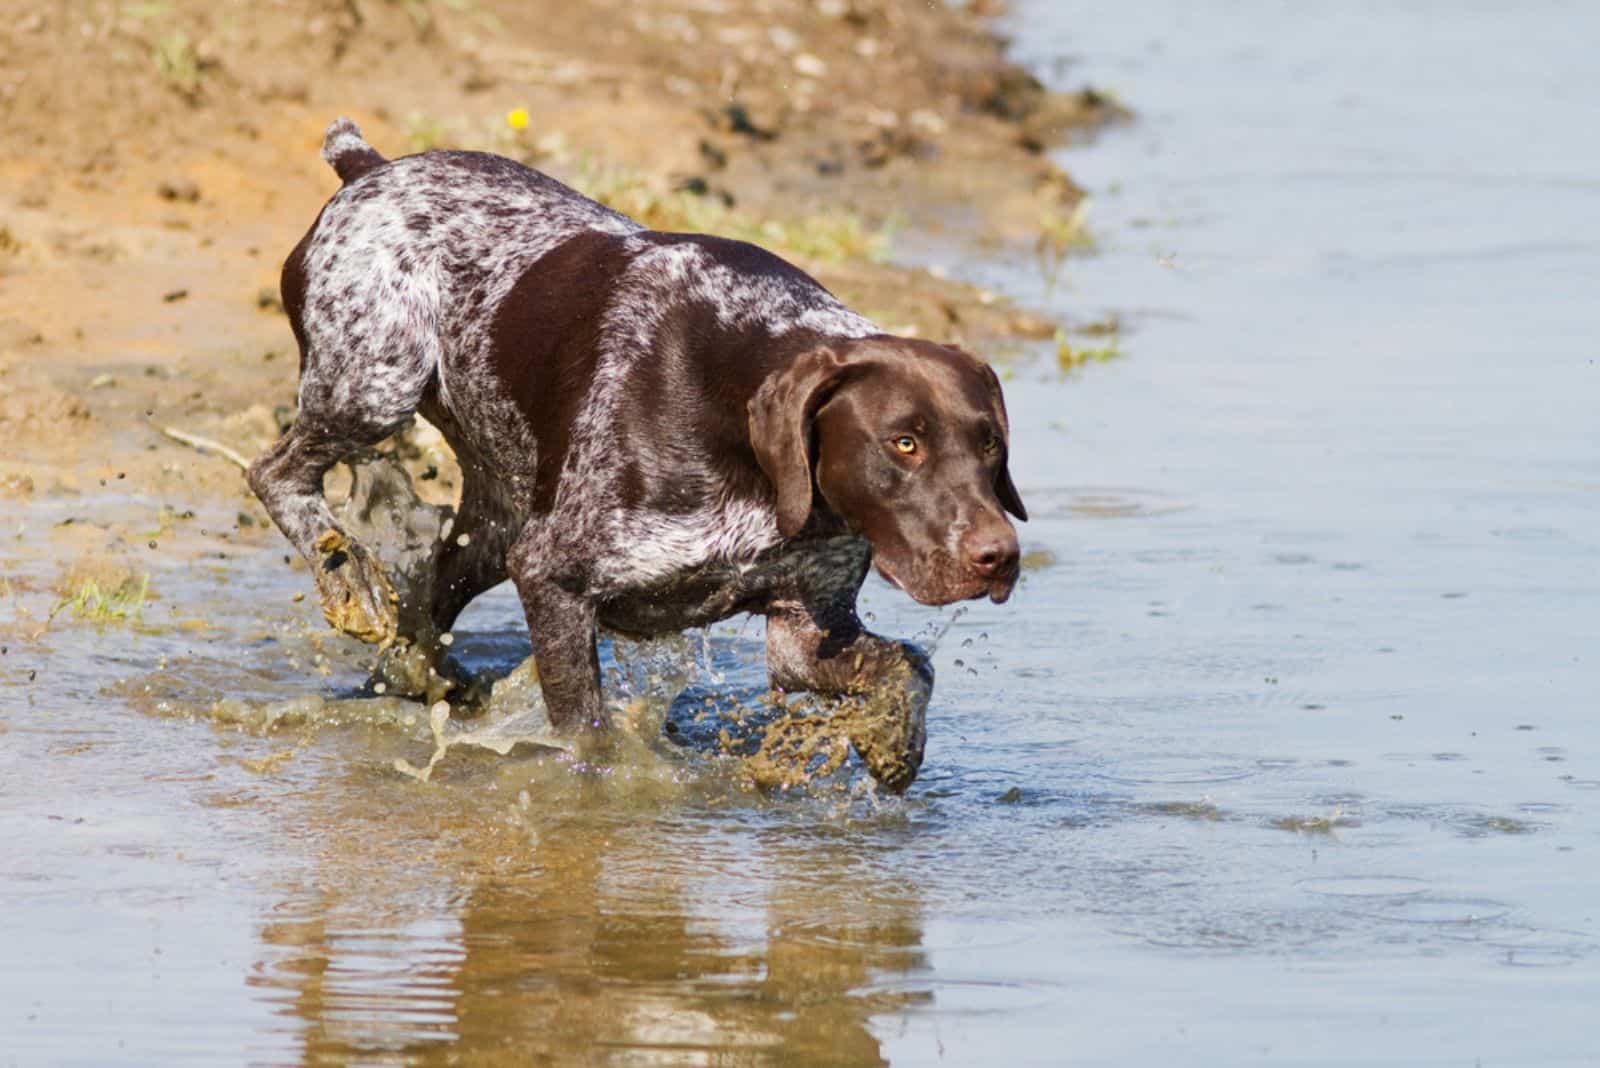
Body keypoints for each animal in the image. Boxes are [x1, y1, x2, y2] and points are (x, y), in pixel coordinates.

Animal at [249, 120, 1024, 793]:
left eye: (989, 444)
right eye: (904, 443)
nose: (999, 556)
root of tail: (370, 168)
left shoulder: (806, 625)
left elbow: (909, 668)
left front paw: (894, 742)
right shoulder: (553, 574)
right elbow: (586, 734)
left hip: (494, 524)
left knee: (427, 603)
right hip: (374, 387)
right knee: (275, 474)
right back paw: (345, 572)